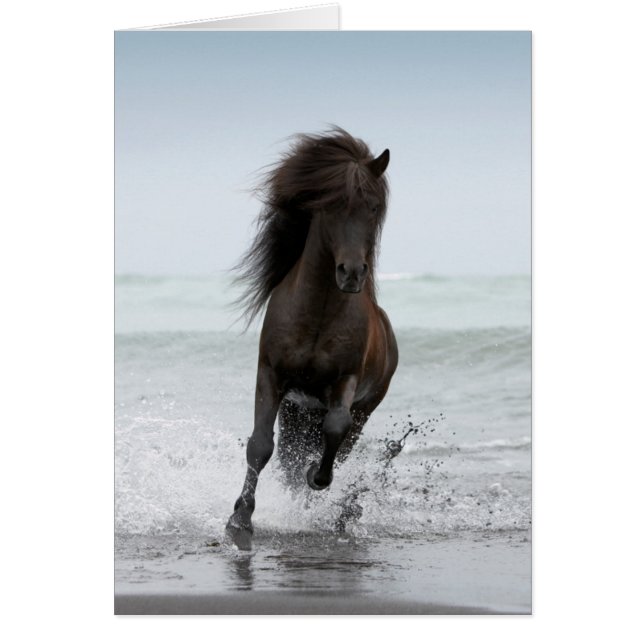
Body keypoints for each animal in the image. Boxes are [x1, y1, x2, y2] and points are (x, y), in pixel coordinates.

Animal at [225, 127, 398, 550]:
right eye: (331, 205)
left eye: (372, 207)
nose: (351, 273)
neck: (318, 312)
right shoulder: (271, 375)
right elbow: (259, 446)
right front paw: (240, 520)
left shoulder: (345, 382)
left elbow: (332, 432)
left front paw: (315, 478)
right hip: (295, 409)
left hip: (362, 411)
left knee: (336, 444)